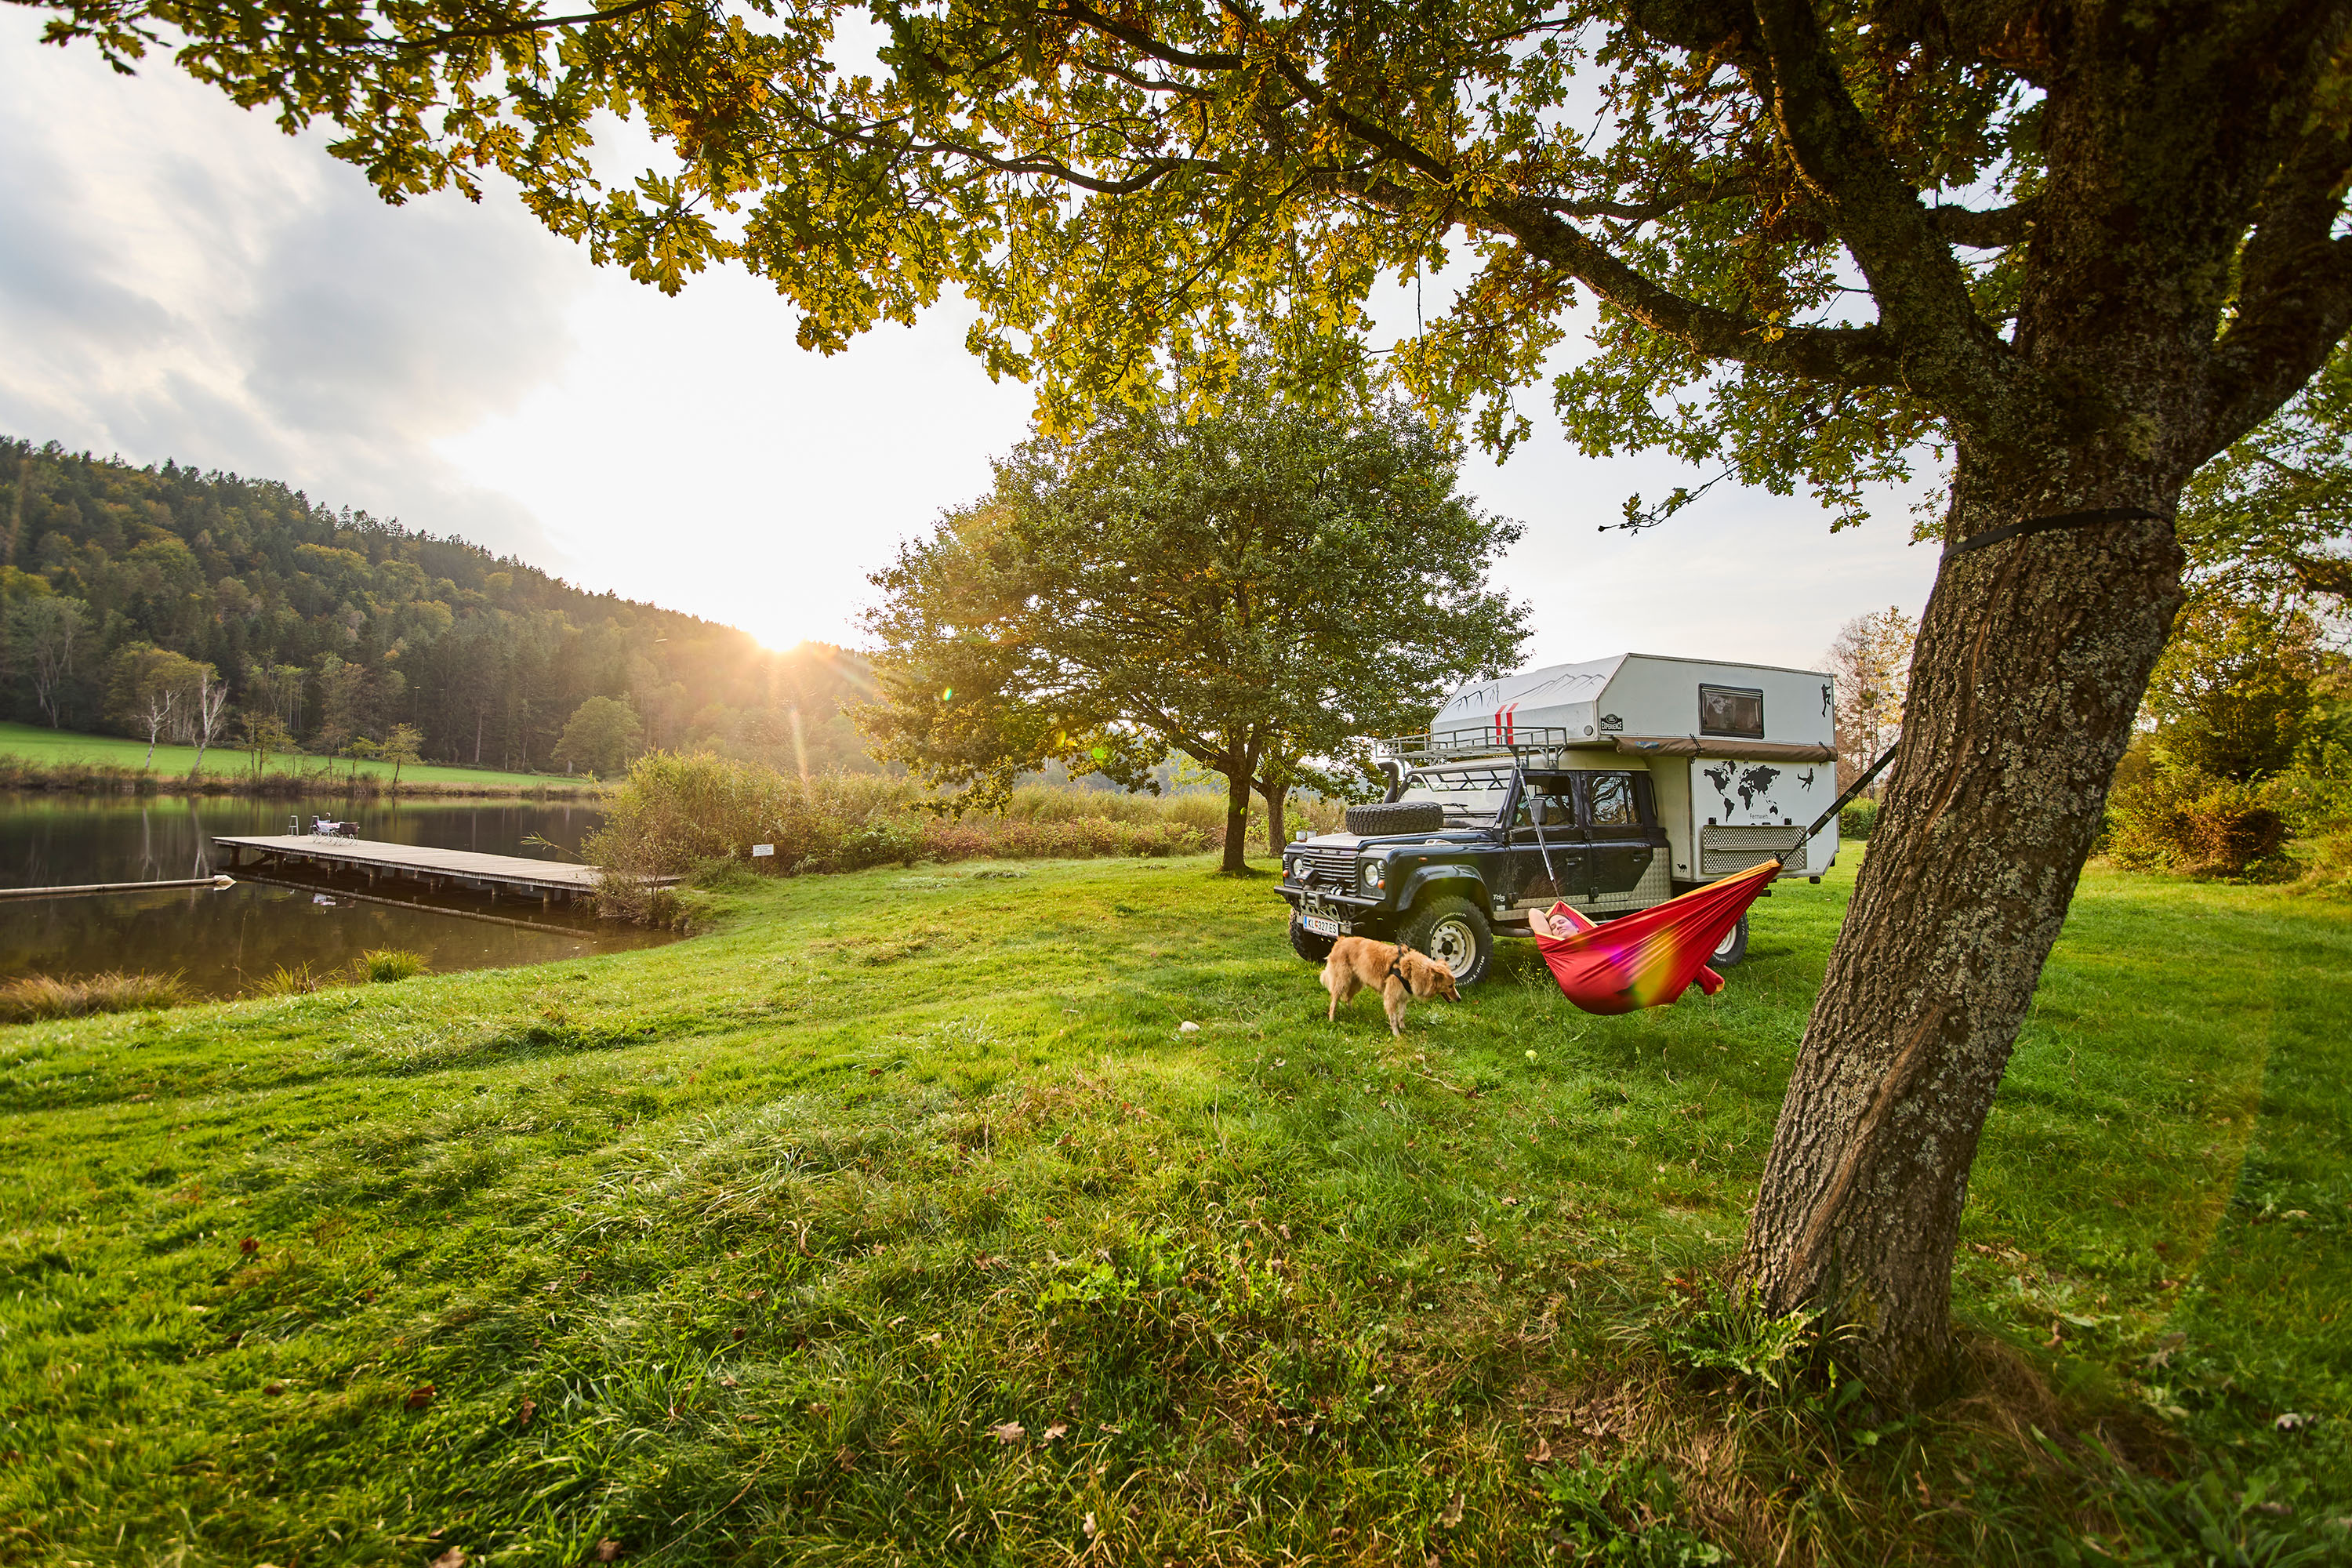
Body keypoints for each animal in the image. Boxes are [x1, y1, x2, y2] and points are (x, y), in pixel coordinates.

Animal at [1327, 940, 1449, 1034]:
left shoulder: (1403, 997)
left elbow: (1401, 1015)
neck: (1411, 968)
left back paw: (1352, 1011)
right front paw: (1397, 1034)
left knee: (1348, 997)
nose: (1455, 1000)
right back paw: (1332, 1019)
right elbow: (1394, 1018)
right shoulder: (1391, 997)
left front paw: (1403, 1028)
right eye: (1450, 986)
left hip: (1357, 982)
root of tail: (1340, 940)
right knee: (1334, 1000)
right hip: (1342, 981)